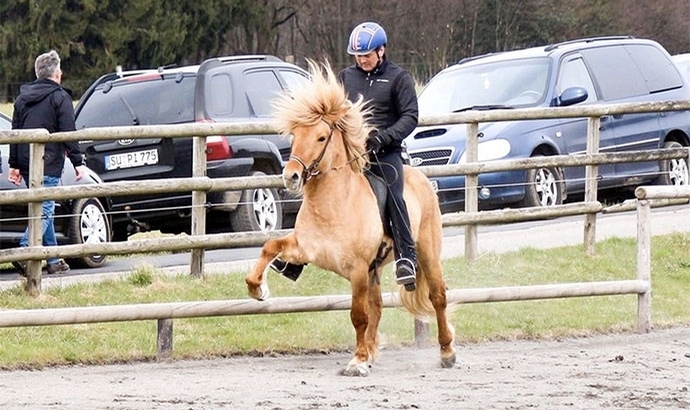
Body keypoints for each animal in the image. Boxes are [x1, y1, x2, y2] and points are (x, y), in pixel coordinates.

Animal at [245, 59, 454, 376]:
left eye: (321, 137)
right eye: (295, 135)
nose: (291, 176)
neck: (333, 205)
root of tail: (420, 177)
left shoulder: (357, 269)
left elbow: (358, 315)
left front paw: (356, 362)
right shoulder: (305, 249)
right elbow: (270, 247)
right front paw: (258, 289)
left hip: (427, 253)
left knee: (437, 297)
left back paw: (446, 353)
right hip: (374, 270)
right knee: (378, 306)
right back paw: (371, 353)